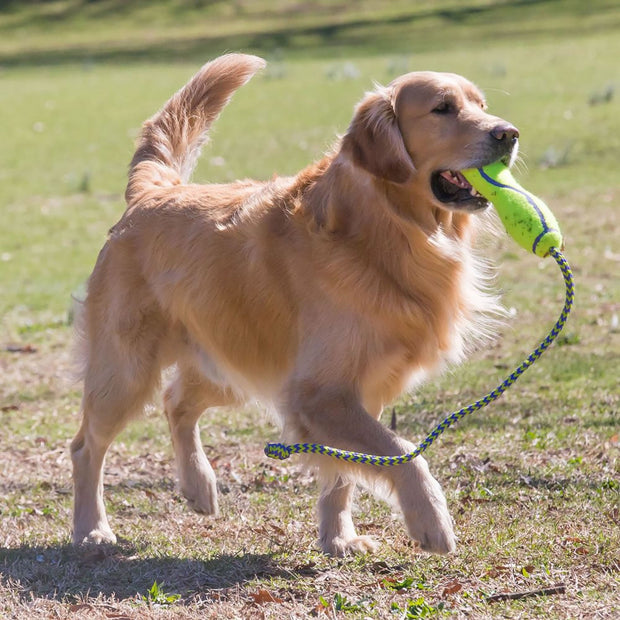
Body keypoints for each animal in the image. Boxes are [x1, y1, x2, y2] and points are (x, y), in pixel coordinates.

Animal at [71, 54, 520, 556]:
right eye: (443, 108)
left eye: (481, 105)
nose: (508, 134)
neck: (384, 231)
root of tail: (152, 193)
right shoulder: (318, 393)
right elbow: (401, 451)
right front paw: (431, 519)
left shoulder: (356, 391)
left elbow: (344, 471)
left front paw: (338, 537)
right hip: (126, 371)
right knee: (87, 446)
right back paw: (91, 528)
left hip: (234, 364)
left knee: (176, 402)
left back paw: (198, 485)